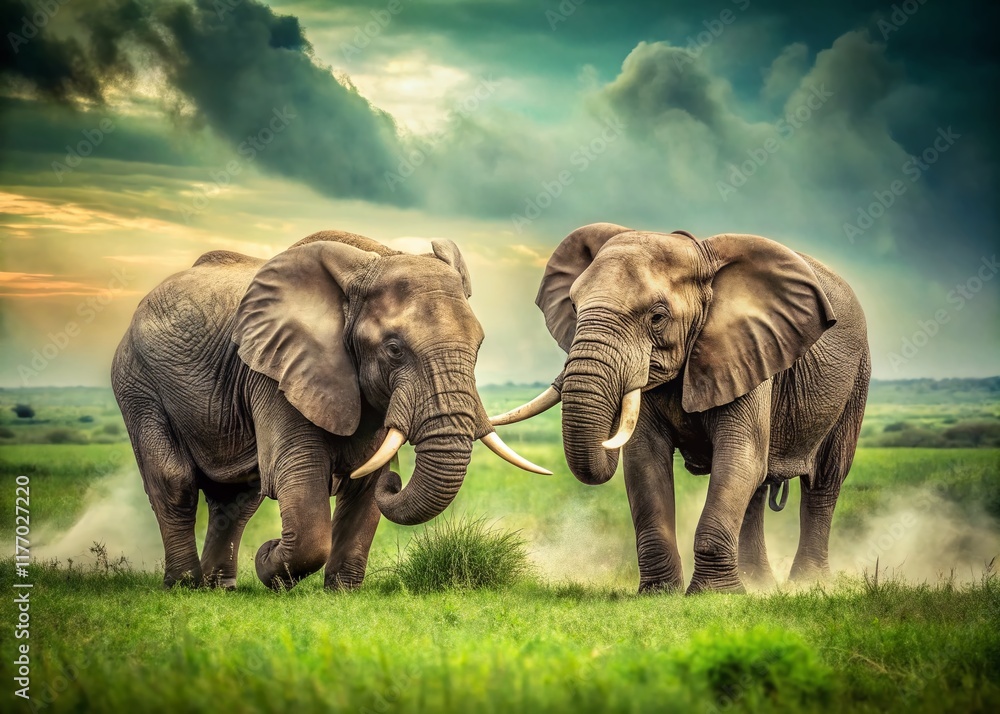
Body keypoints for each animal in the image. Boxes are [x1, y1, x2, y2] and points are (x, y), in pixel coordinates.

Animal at [112, 230, 549, 591]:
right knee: (175, 480)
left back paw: (220, 588)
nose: (398, 482)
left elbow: (367, 480)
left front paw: (340, 592)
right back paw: (184, 585)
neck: (374, 257)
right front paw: (269, 562)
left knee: (237, 498)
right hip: (136, 381)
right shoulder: (274, 373)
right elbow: (298, 478)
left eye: (478, 346)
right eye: (394, 349)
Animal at [492, 223, 870, 594]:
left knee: (824, 480)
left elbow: (740, 454)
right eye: (573, 306)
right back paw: (759, 584)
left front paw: (715, 595)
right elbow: (644, 460)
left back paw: (808, 584)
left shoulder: (750, 351)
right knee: (759, 486)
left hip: (857, 377)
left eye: (658, 317)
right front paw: (660, 592)